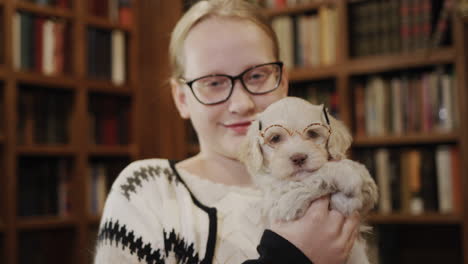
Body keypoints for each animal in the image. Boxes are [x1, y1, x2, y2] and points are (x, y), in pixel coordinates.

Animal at [239, 96, 378, 264]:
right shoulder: (274, 201)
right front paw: (346, 175)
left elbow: (361, 175)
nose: (298, 157)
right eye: (275, 138)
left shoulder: (369, 192)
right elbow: (305, 182)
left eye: (312, 134)